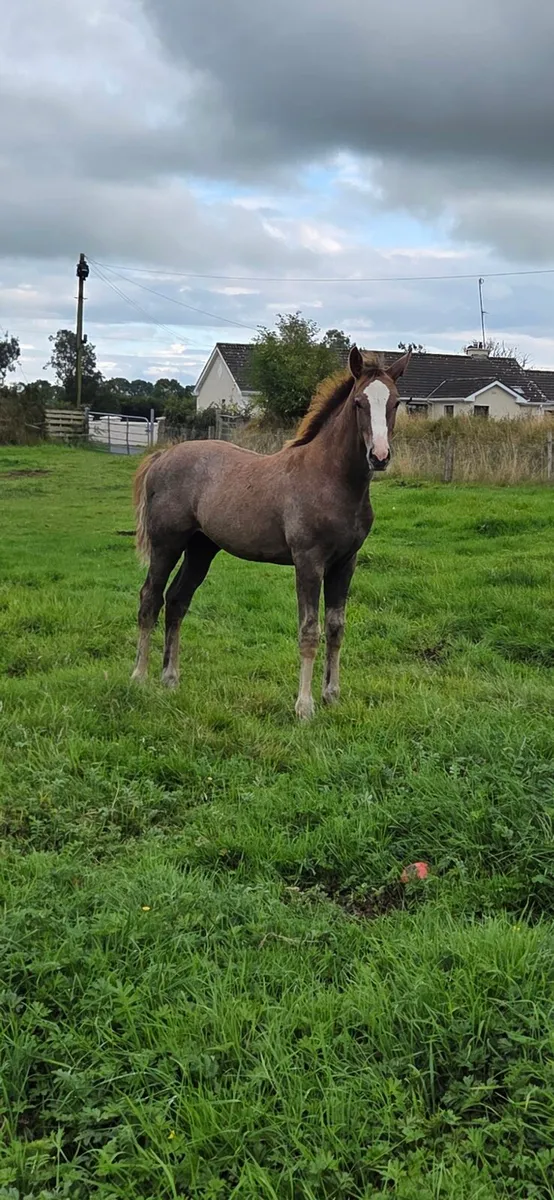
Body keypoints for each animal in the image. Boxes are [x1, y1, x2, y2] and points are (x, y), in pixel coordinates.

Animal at [131, 346, 411, 719]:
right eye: (358, 403)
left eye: (395, 402)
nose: (379, 456)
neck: (330, 478)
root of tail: (163, 455)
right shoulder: (309, 563)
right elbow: (310, 631)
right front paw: (304, 707)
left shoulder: (345, 563)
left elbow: (336, 628)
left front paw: (332, 696)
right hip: (167, 545)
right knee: (150, 599)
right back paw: (139, 677)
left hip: (201, 549)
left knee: (177, 601)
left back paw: (170, 679)